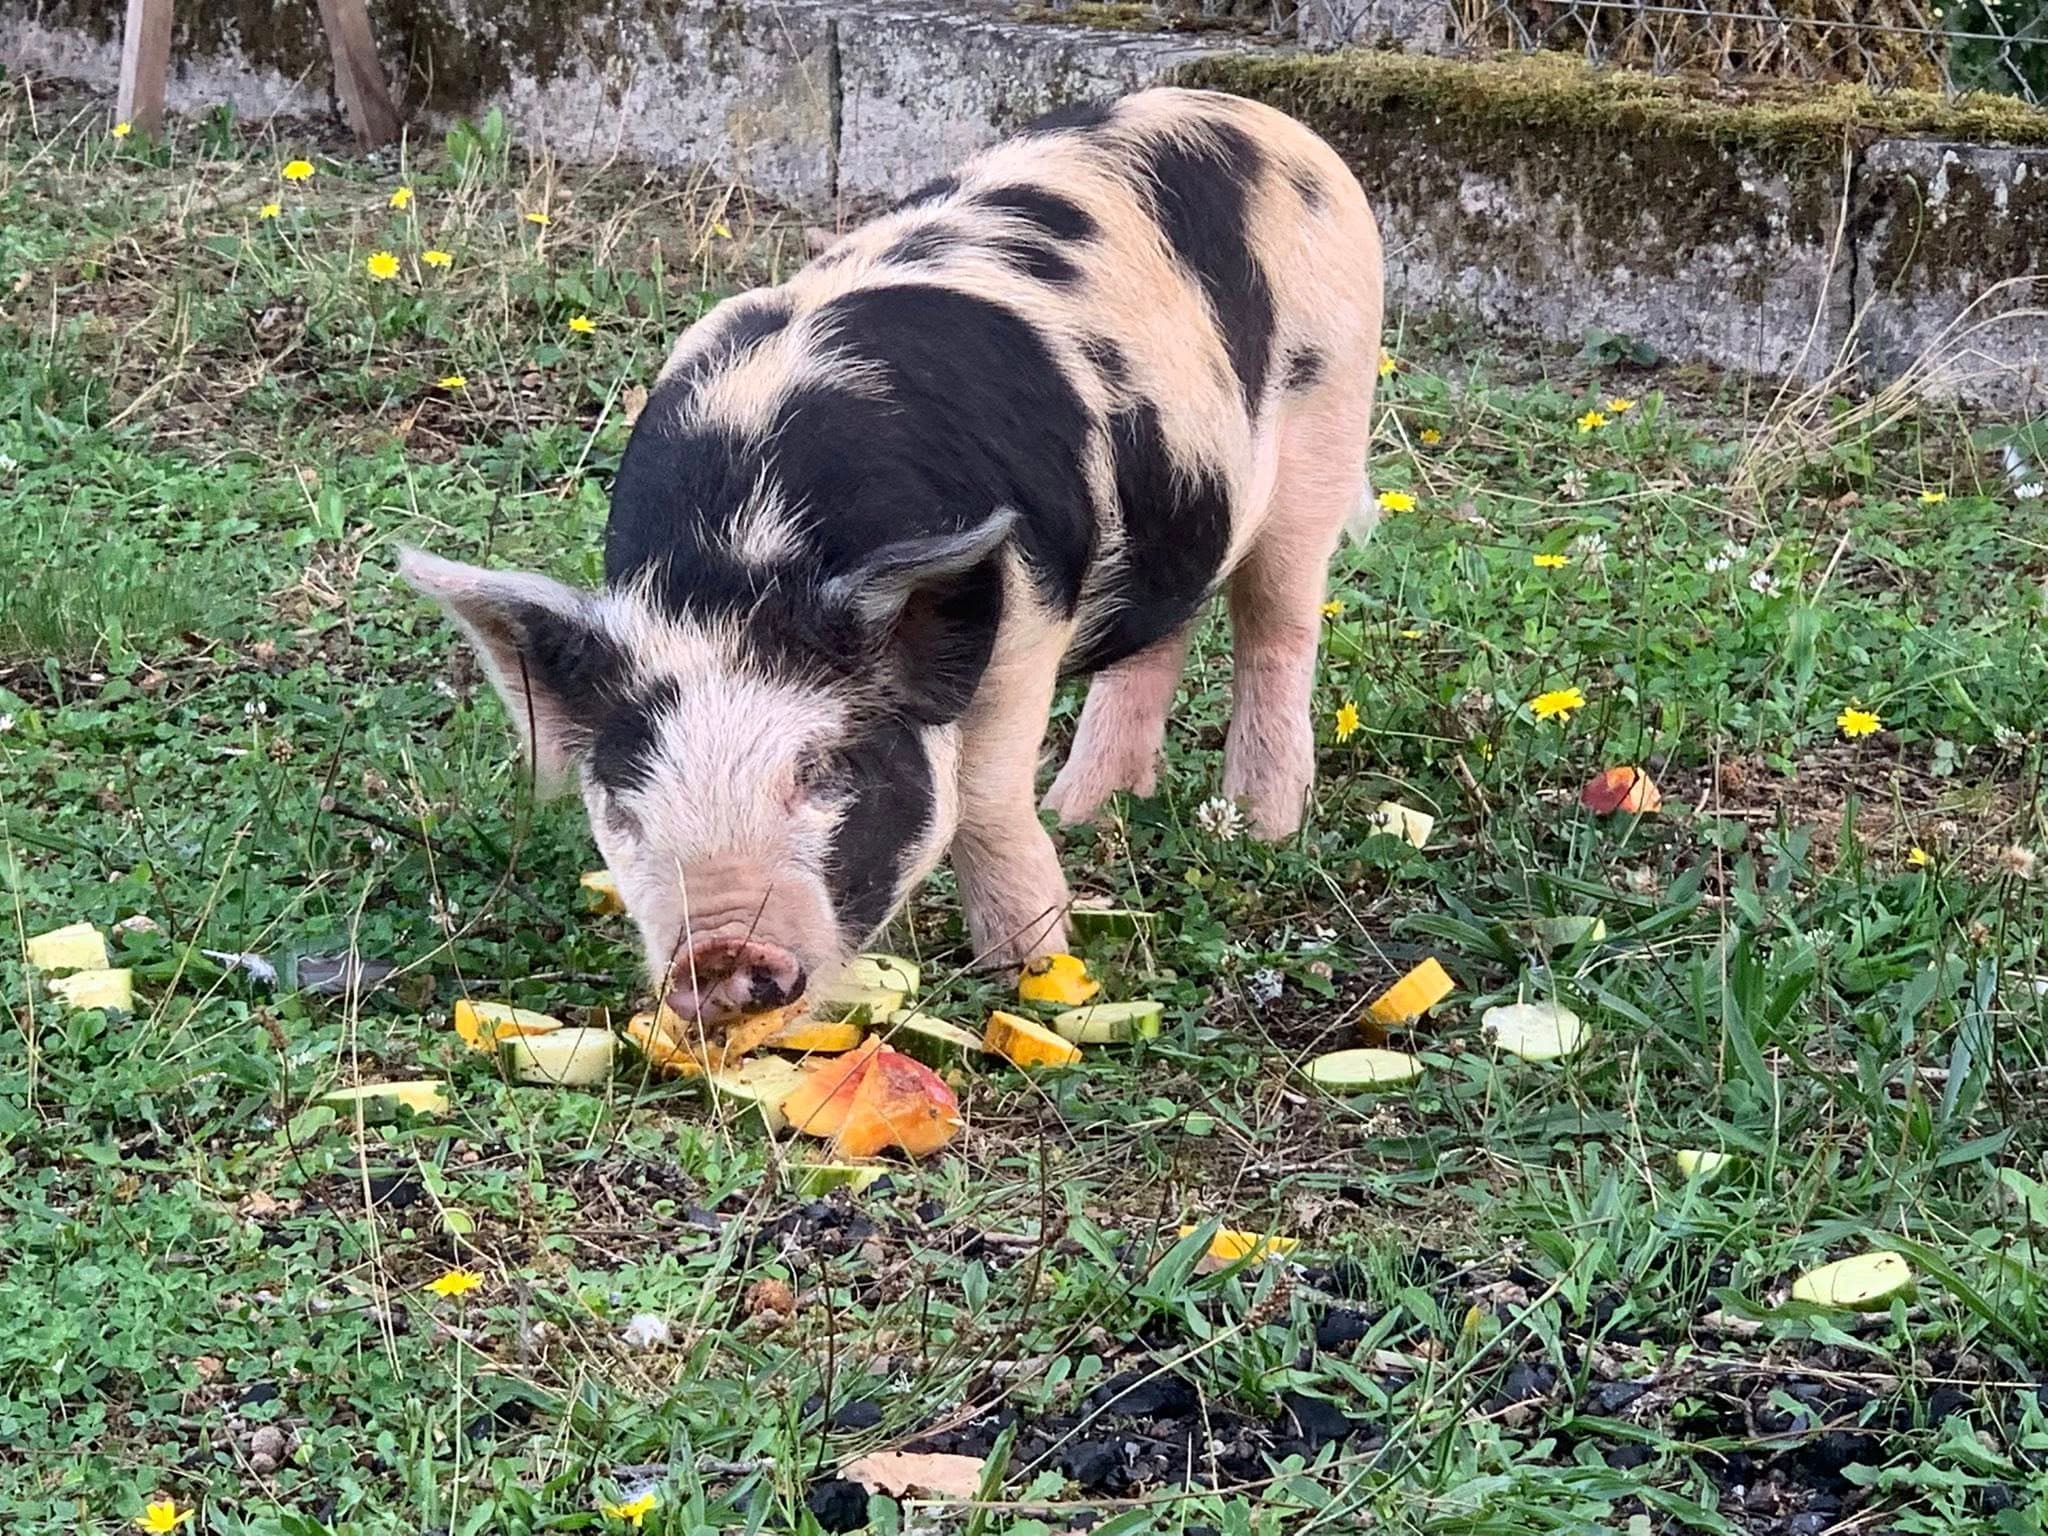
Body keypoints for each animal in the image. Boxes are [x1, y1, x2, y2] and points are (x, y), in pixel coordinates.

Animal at [401, 86, 1383, 1027]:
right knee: (1160, 632)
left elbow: (982, 797)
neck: (744, 552)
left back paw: (1256, 828)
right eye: (624, 801)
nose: (716, 954)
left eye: (823, 772)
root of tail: (1260, 118)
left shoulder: (1025, 619)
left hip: (1329, 410)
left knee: (1277, 624)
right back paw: (1081, 810)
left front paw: (1035, 970)